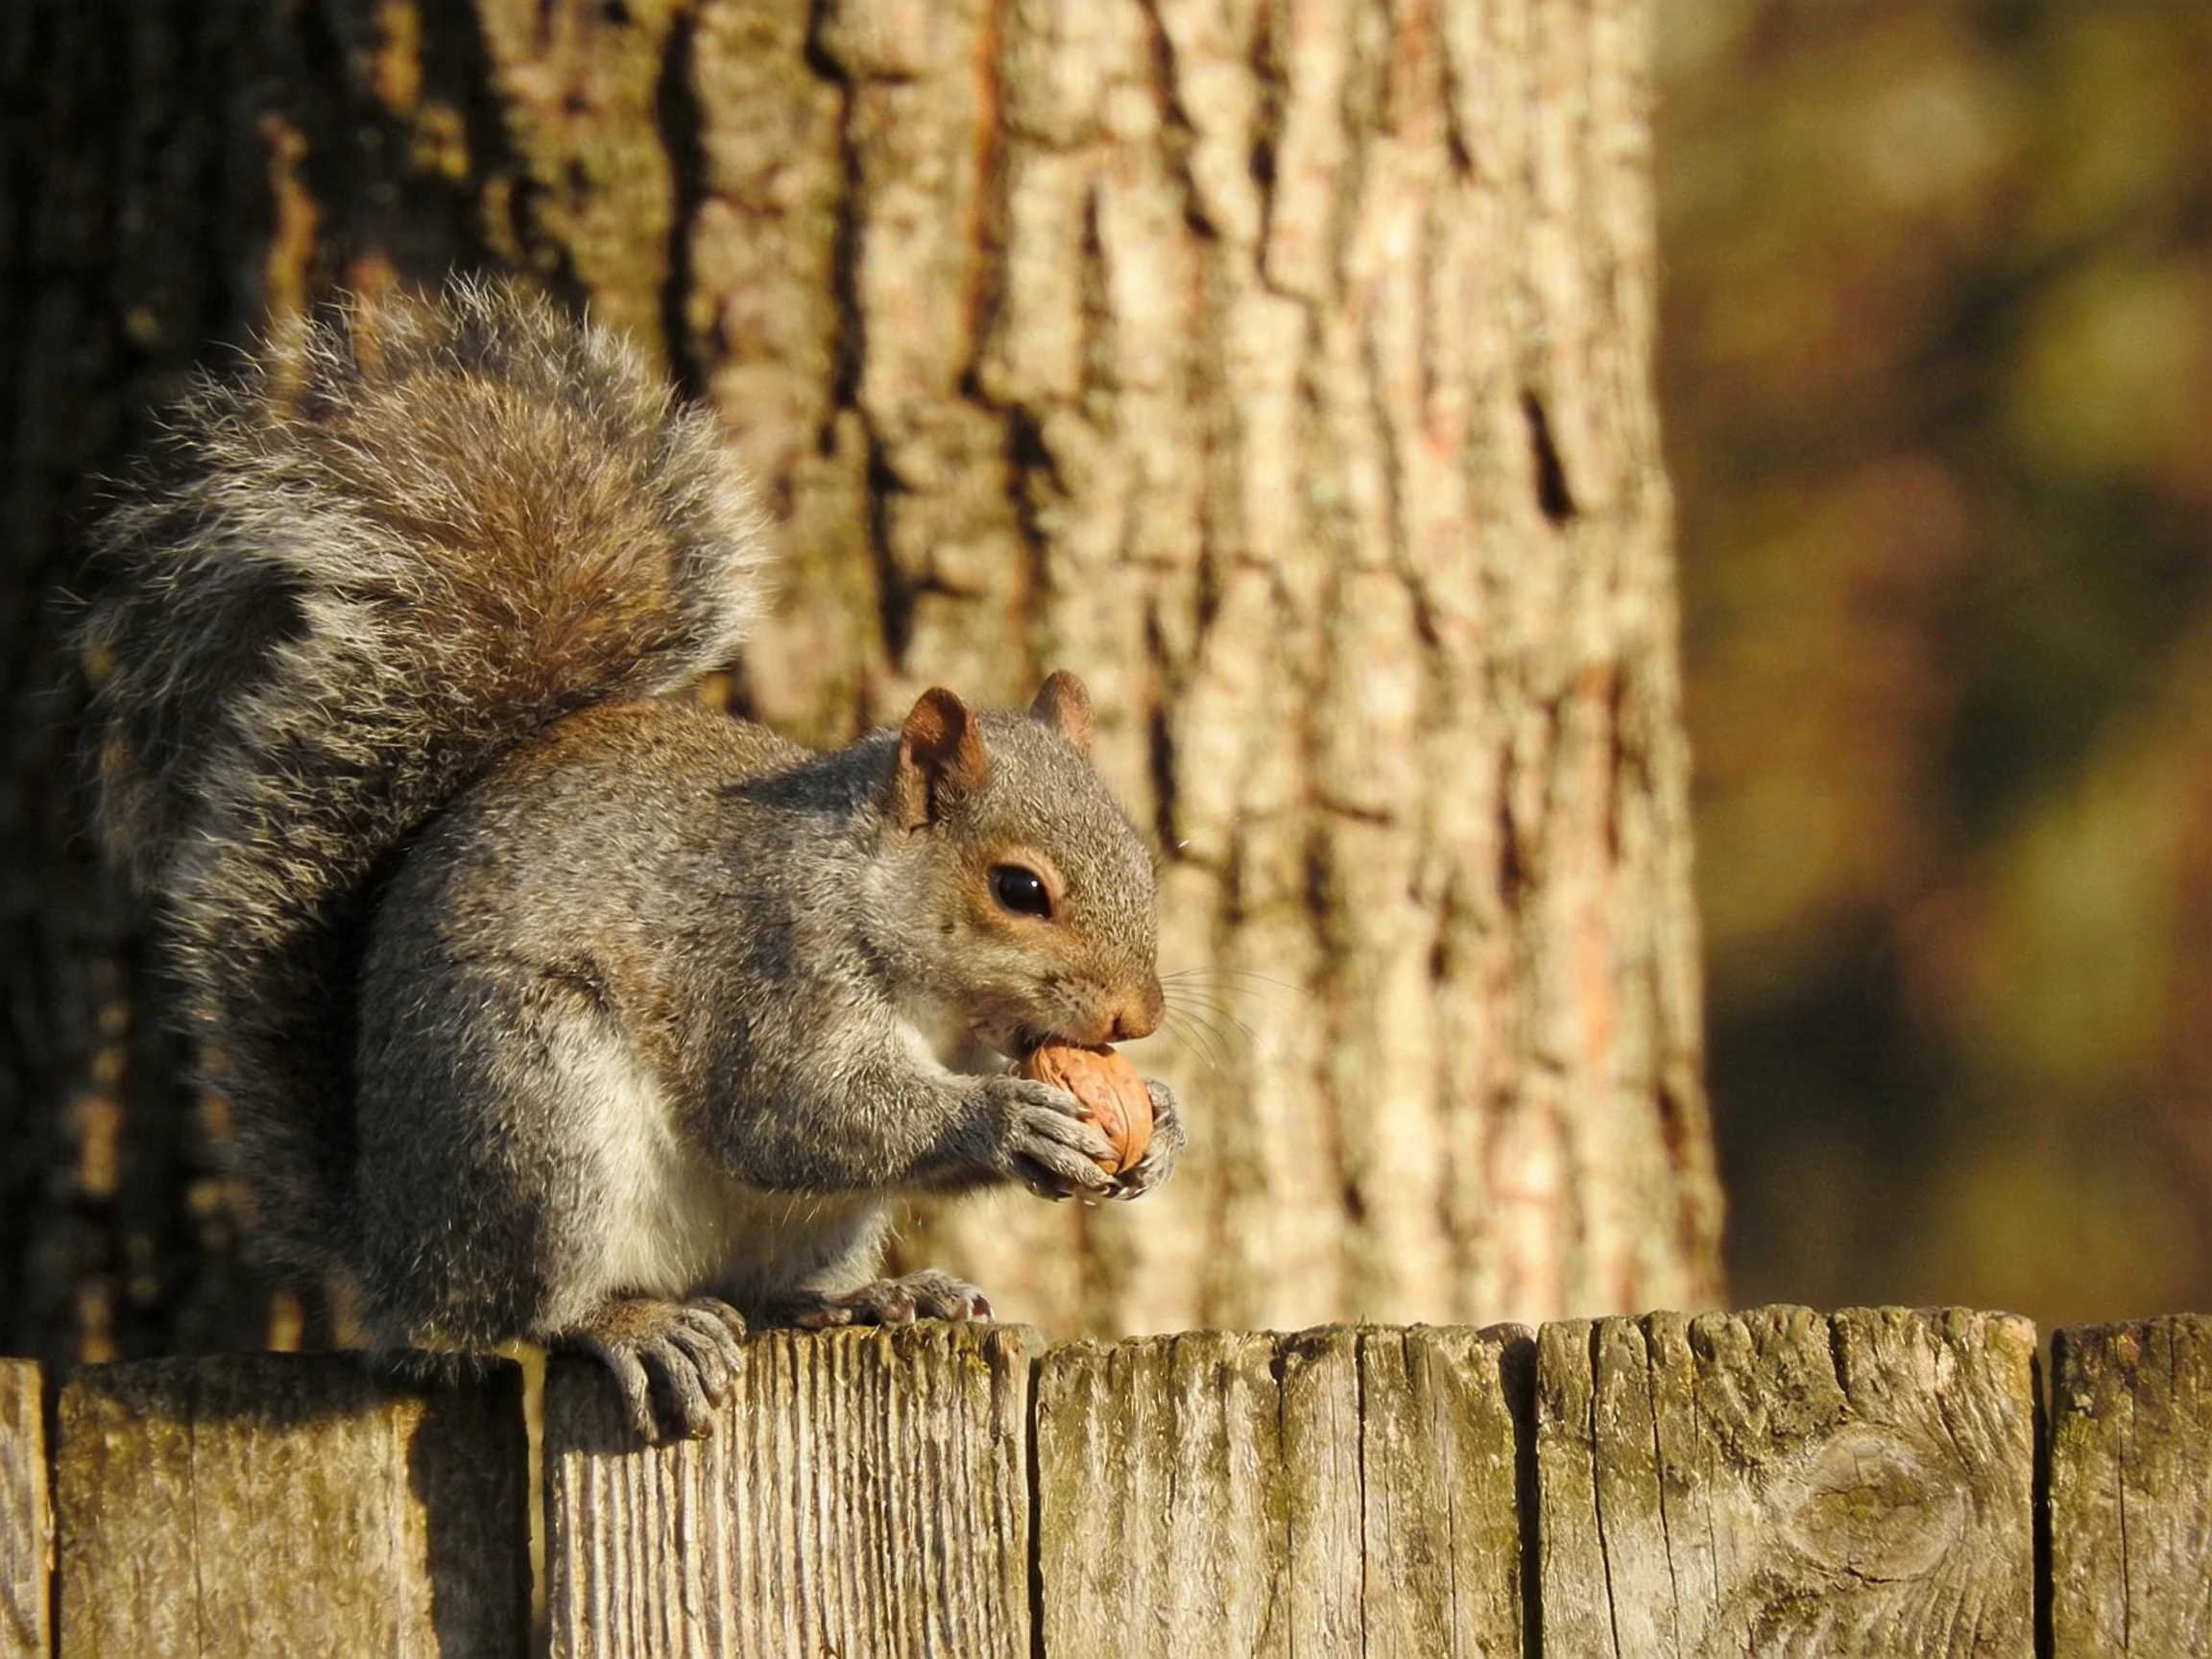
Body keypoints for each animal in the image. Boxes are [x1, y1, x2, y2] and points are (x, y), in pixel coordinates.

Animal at [81, 278, 1184, 1441]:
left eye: (1144, 864)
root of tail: (393, 1252)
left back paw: (874, 1298)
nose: (1137, 1018)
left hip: (784, 1219)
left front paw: (1159, 1122)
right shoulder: (770, 970)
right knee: (530, 1312)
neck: (875, 906)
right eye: (1020, 890)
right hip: (531, 1112)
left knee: (768, 1294)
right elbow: (791, 1111)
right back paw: (632, 1327)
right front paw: (1008, 1119)